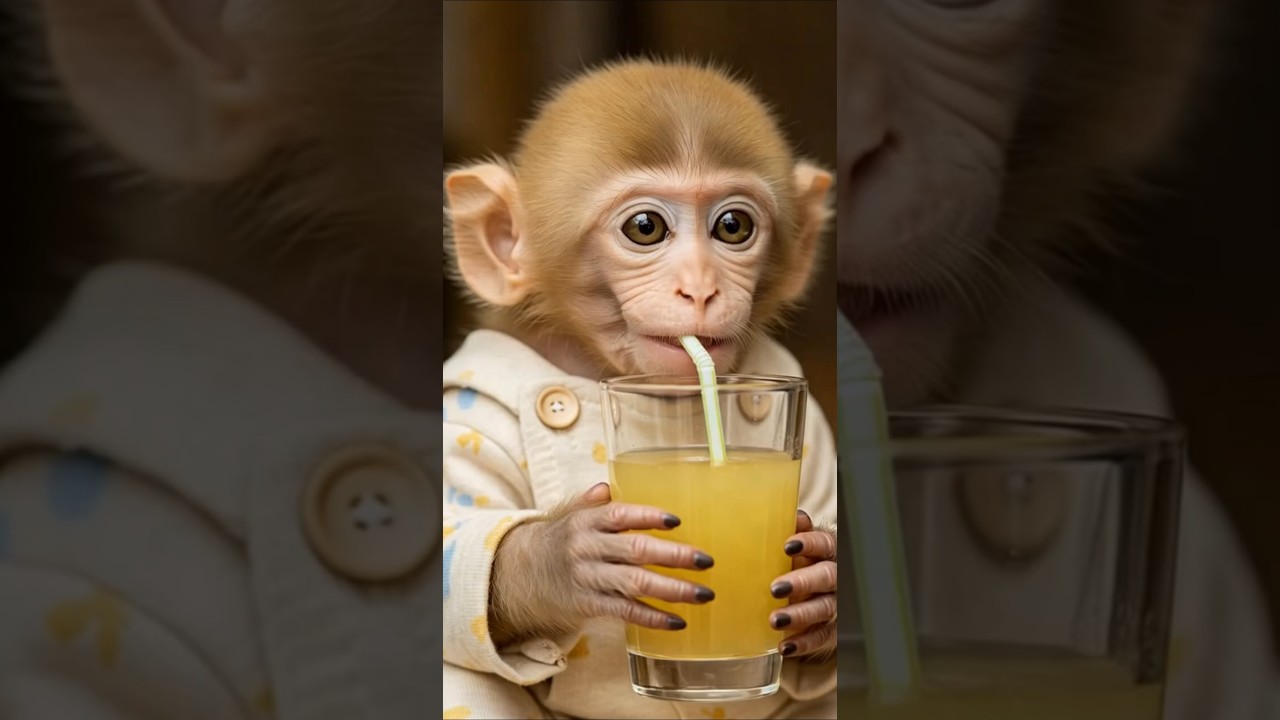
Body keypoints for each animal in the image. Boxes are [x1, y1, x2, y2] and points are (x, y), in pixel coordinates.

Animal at [441, 59, 840, 720]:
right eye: (646, 228)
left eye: (733, 226)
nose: (700, 288)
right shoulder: (470, 417)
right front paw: (569, 558)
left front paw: (818, 580)